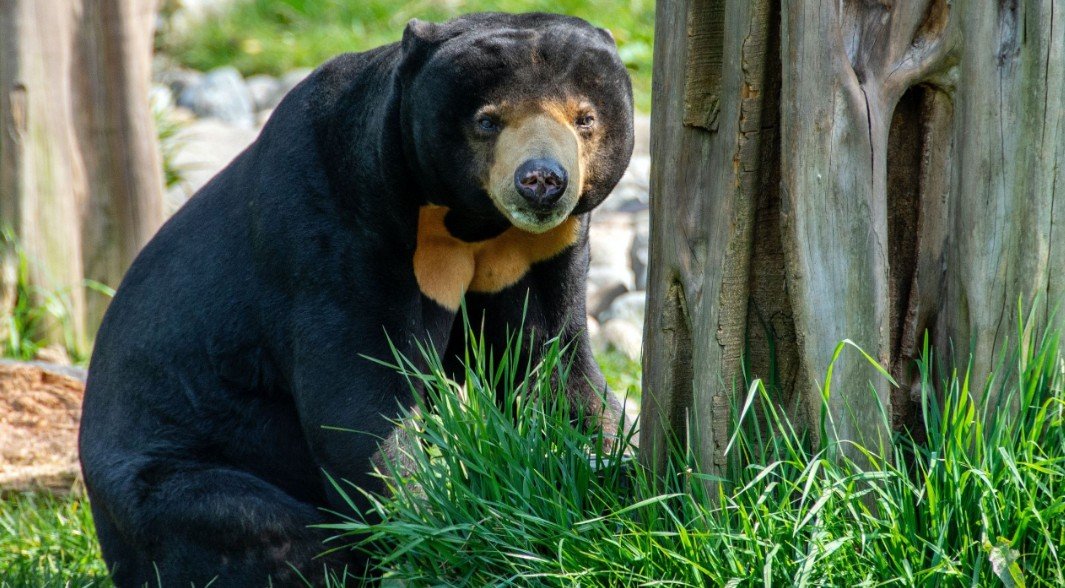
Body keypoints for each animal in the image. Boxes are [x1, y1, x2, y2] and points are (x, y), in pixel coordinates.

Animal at [78, 12, 634, 586]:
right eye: (487, 120)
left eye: (585, 118)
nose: (542, 181)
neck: (466, 224)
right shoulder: (333, 234)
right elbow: (359, 403)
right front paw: (441, 525)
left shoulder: (534, 255)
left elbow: (550, 364)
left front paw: (611, 468)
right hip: (167, 478)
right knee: (263, 530)